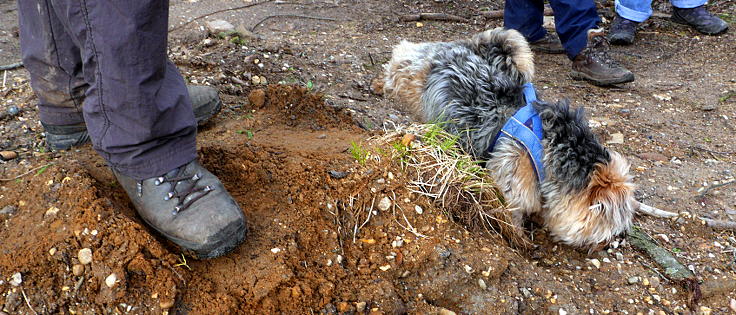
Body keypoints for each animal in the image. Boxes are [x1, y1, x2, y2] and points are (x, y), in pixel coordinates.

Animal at [382, 28, 636, 251]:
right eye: (608, 228)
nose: (606, 245)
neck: (551, 148)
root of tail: (467, 46)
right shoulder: (513, 185)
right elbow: (512, 217)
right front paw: (521, 241)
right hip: (414, 74)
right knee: (402, 58)